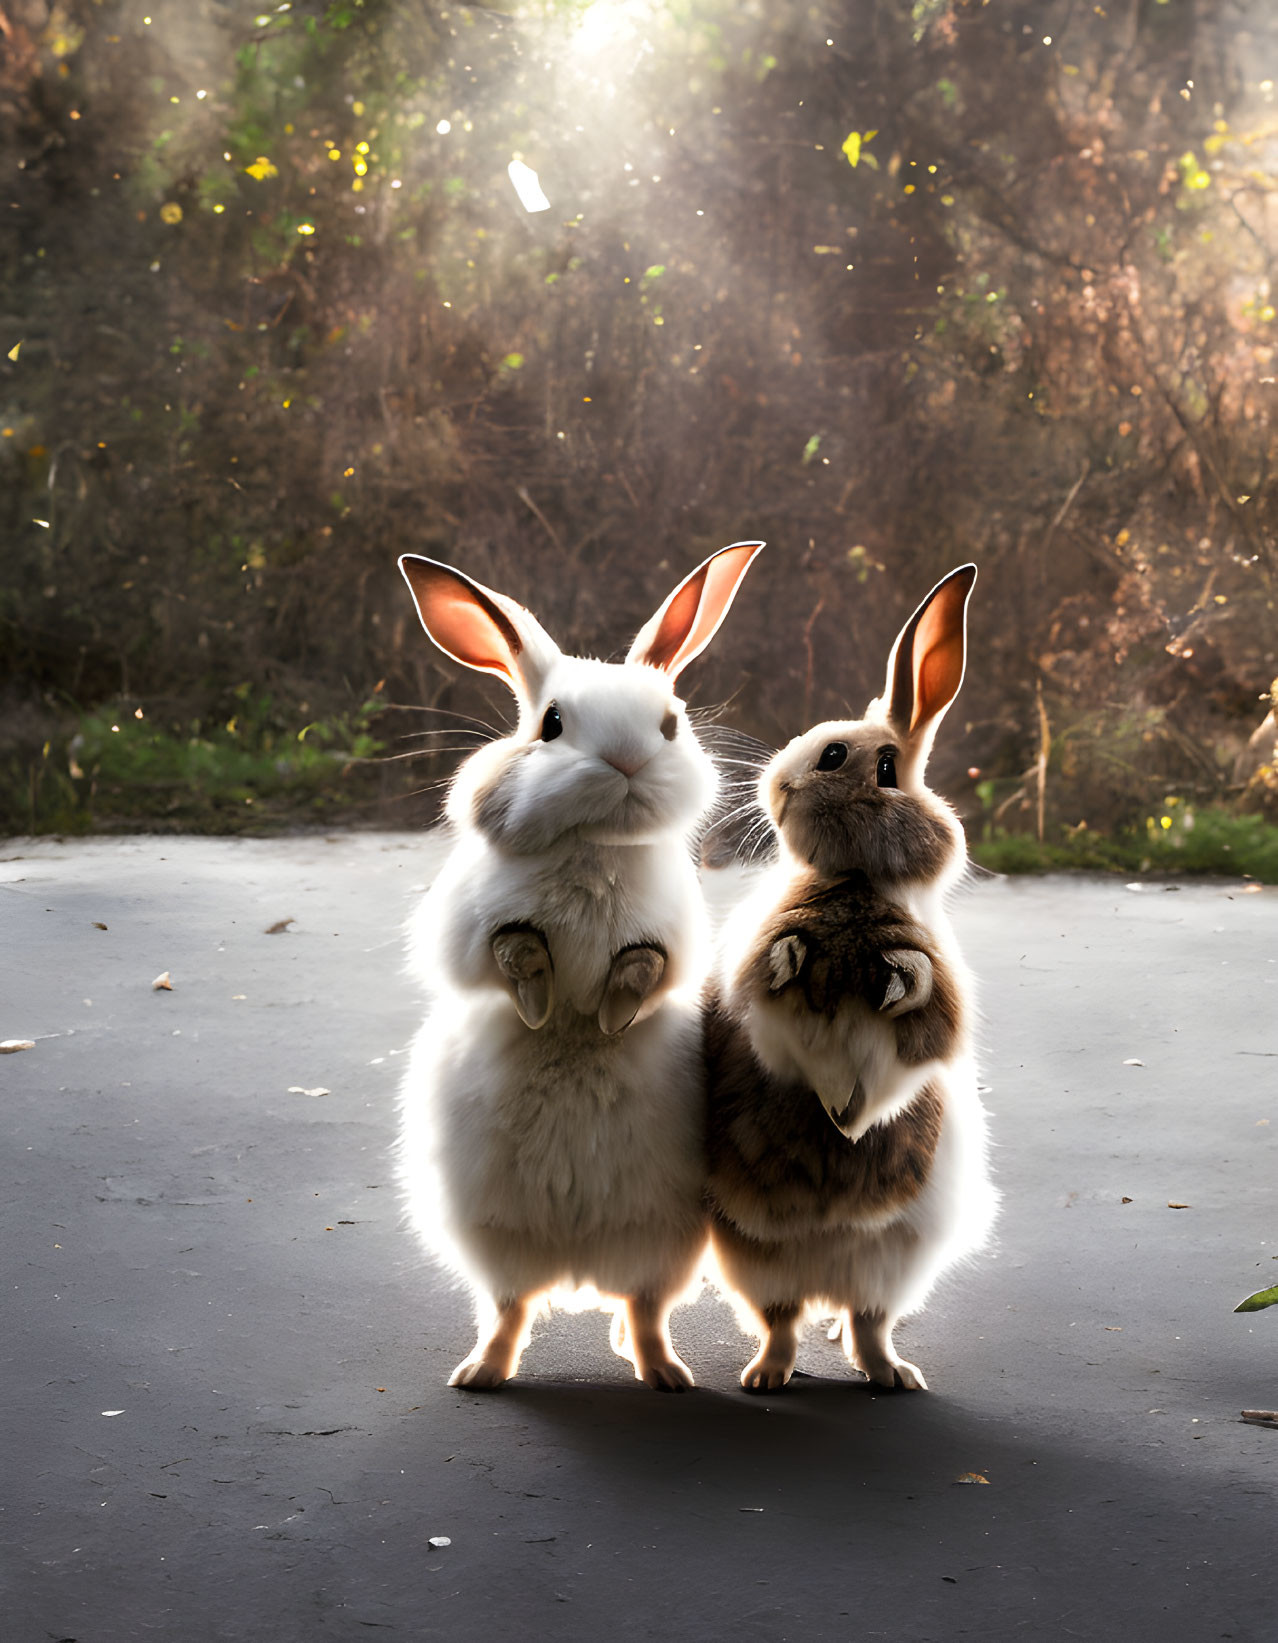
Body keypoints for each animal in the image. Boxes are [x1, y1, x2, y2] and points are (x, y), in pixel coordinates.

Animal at [392, 538, 762, 1386]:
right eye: (552, 723)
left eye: (670, 722)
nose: (625, 759)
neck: (596, 845)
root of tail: (577, 1266)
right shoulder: (470, 928)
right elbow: (511, 948)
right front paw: (540, 1001)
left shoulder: (670, 939)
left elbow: (645, 967)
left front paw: (609, 1013)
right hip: (494, 1243)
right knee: (509, 1309)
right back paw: (481, 1373)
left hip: (663, 1245)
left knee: (644, 1306)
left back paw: (661, 1369)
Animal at [706, 565, 998, 1386]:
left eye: (836, 756)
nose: (774, 783)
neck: (853, 883)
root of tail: (827, 1269)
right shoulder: (753, 995)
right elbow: (774, 1001)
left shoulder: (935, 1021)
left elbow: (913, 1025)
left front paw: (852, 1115)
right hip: (753, 1255)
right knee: (781, 1320)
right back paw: (768, 1375)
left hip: (896, 1259)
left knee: (868, 1322)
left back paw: (888, 1371)